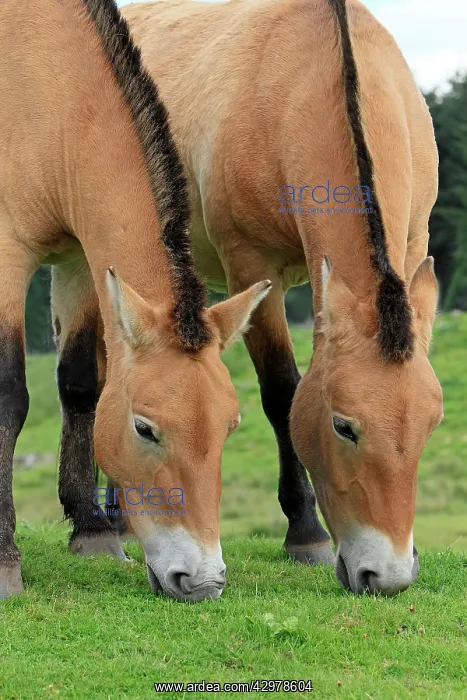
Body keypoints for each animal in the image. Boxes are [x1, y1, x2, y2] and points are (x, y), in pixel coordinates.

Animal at [0, 0, 271, 601]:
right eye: (146, 429)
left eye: (230, 427)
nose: (202, 580)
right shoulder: (6, 253)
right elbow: (9, 395)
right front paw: (4, 559)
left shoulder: (83, 261)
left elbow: (80, 384)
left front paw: (94, 533)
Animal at [123, 0, 444, 594]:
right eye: (344, 426)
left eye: (431, 424)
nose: (387, 576)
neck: (305, 77)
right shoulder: (252, 267)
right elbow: (280, 394)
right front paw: (306, 535)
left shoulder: (413, 247)